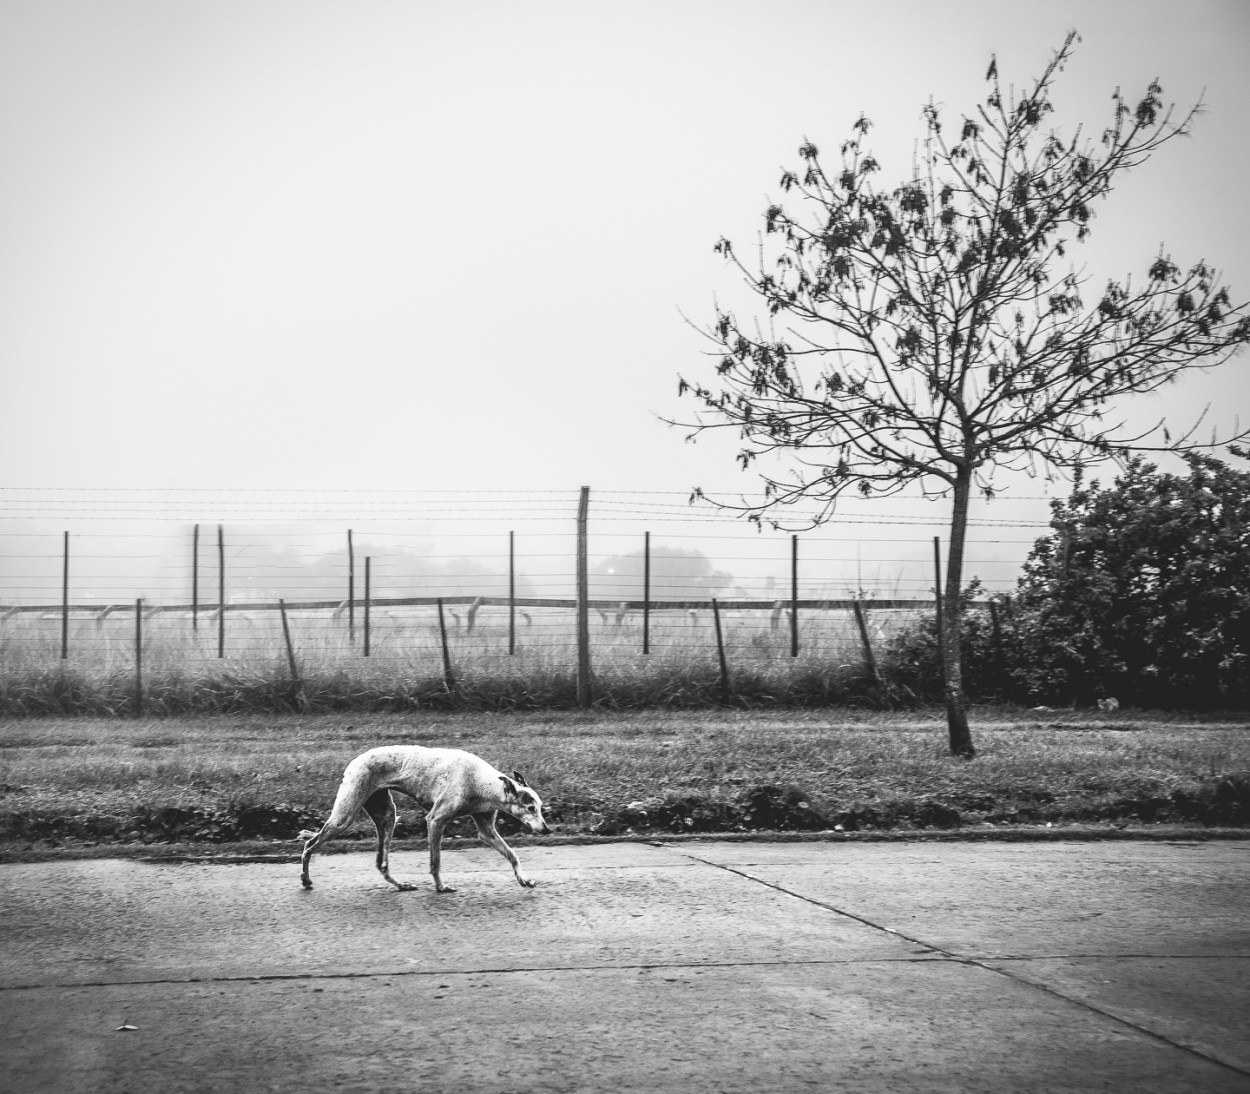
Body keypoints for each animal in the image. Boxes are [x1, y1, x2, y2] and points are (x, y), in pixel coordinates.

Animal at [297, 750, 552, 895]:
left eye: (540, 807)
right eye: (530, 808)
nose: (547, 829)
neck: (482, 782)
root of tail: (354, 761)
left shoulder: (486, 829)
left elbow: (512, 854)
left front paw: (523, 878)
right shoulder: (436, 820)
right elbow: (435, 861)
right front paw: (441, 887)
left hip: (387, 816)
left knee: (382, 862)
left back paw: (401, 885)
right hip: (344, 816)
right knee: (310, 844)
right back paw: (306, 879)